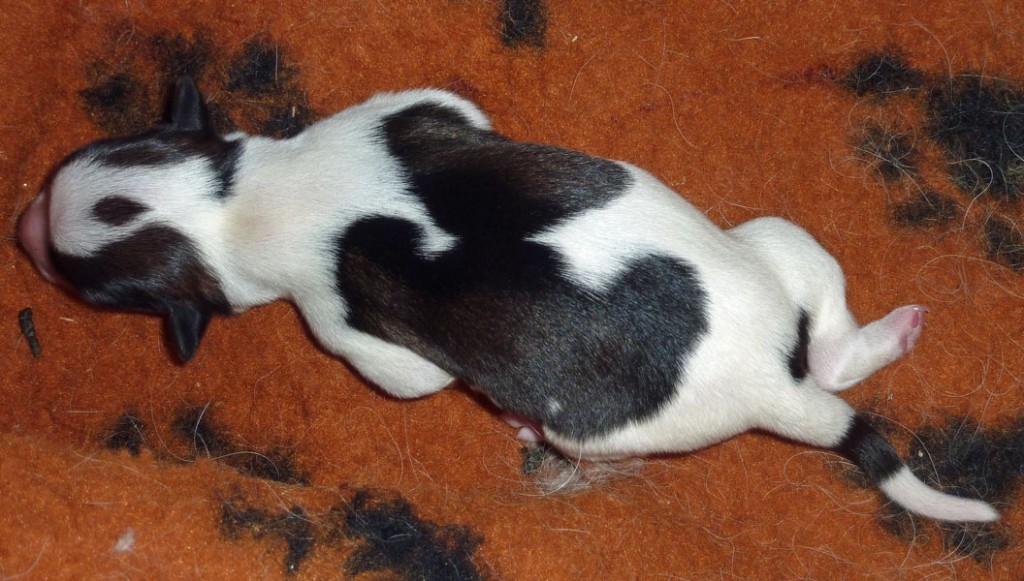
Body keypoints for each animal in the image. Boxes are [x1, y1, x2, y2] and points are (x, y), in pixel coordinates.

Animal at [19, 77, 997, 522]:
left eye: (82, 279)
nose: (23, 227)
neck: (234, 199)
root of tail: (776, 384)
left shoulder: (347, 330)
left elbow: (408, 376)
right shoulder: (415, 109)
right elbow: (458, 109)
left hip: (594, 431)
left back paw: (525, 425)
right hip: (778, 240)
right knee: (829, 340)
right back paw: (885, 334)